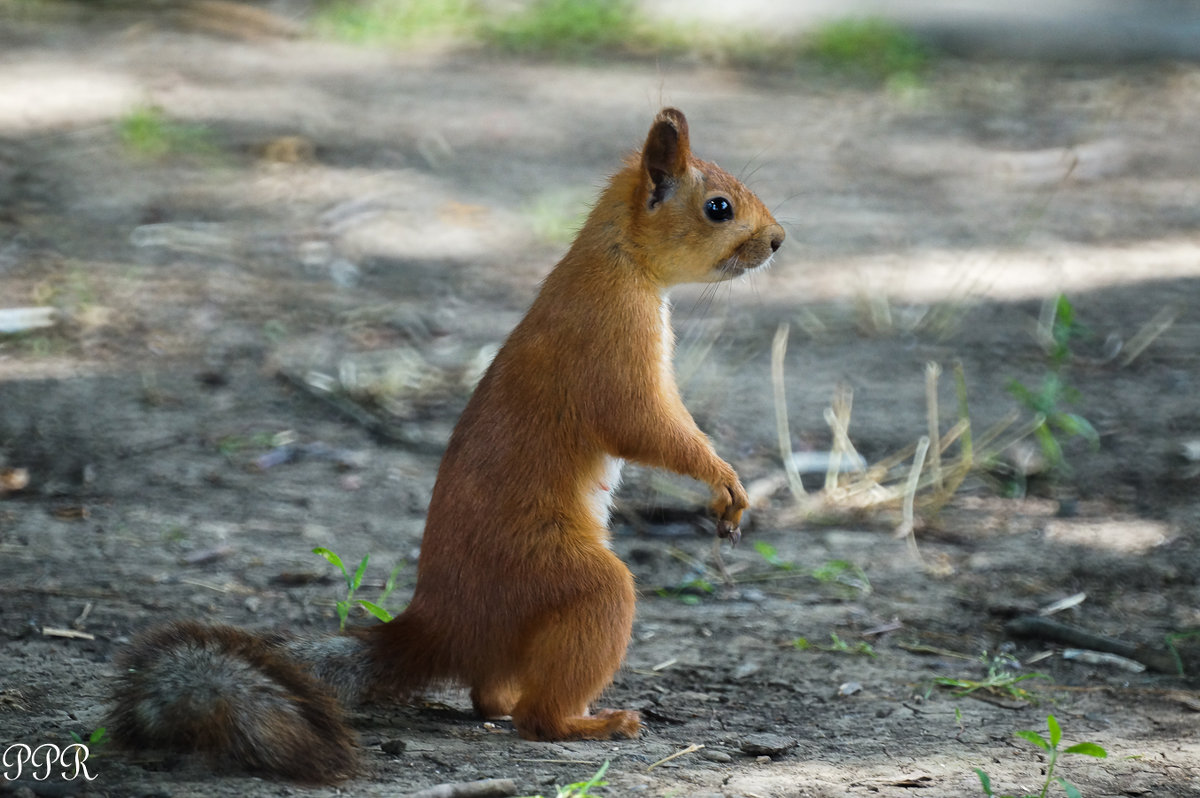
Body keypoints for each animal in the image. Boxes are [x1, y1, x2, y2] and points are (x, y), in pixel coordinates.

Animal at [108, 109, 782, 782]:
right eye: (718, 208)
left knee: (488, 693)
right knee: (541, 710)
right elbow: (644, 426)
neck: (618, 260)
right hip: (567, 579)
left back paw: (511, 705)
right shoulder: (611, 345)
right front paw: (724, 480)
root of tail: (440, 626)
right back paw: (590, 723)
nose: (777, 241)